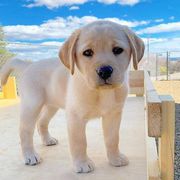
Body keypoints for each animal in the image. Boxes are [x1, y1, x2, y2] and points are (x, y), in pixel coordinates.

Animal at [0, 20, 143, 173]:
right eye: (87, 52)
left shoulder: (113, 115)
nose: (105, 71)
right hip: (32, 105)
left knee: (42, 122)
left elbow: (113, 138)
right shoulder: (75, 117)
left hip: (51, 106)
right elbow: (79, 141)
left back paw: (47, 140)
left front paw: (115, 158)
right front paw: (82, 163)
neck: (101, 92)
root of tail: (29, 65)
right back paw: (30, 155)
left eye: (117, 50)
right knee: (25, 131)